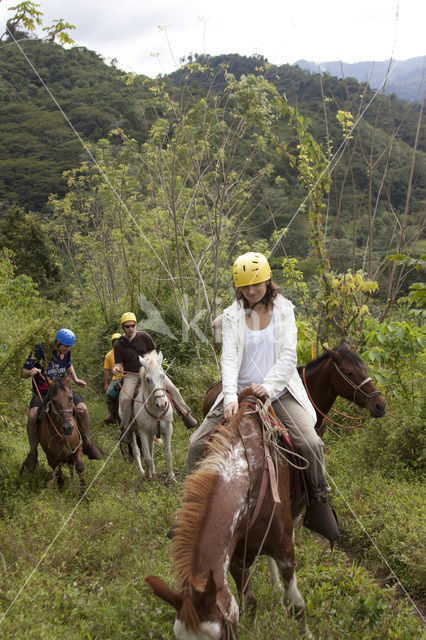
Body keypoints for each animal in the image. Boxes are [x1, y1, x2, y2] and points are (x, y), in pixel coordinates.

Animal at [131, 352, 176, 482]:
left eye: (162, 376)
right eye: (148, 379)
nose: (161, 404)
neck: (156, 412)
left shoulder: (167, 430)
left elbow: (168, 454)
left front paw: (171, 477)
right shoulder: (143, 432)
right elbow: (146, 457)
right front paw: (147, 476)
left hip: (151, 433)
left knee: (151, 449)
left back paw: (153, 470)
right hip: (132, 431)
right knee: (137, 451)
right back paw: (143, 471)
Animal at [146, 392, 312, 636]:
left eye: (218, 635)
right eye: (178, 635)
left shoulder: (285, 551)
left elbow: (296, 602)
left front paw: (305, 632)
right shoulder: (236, 559)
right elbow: (249, 601)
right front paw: (252, 629)